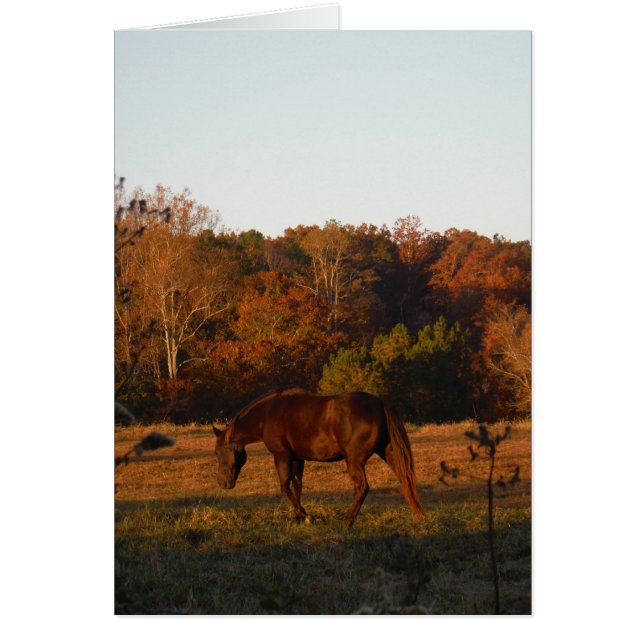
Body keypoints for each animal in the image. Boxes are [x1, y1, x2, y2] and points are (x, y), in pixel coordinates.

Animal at [212, 387, 425, 526]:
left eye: (218, 453)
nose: (223, 483)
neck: (268, 414)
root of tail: (380, 405)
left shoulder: (282, 456)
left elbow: (284, 488)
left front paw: (306, 516)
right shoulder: (297, 458)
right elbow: (297, 486)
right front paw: (298, 517)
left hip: (354, 461)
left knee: (362, 488)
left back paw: (347, 522)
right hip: (388, 453)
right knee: (405, 479)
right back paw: (418, 514)